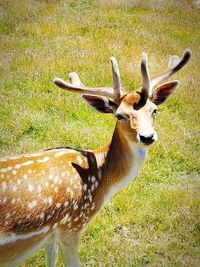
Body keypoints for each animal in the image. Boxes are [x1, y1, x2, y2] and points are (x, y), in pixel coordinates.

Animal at [0, 49, 191, 266]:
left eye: (154, 110)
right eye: (119, 115)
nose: (147, 136)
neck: (101, 182)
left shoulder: (50, 236)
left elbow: (51, 259)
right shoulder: (71, 227)